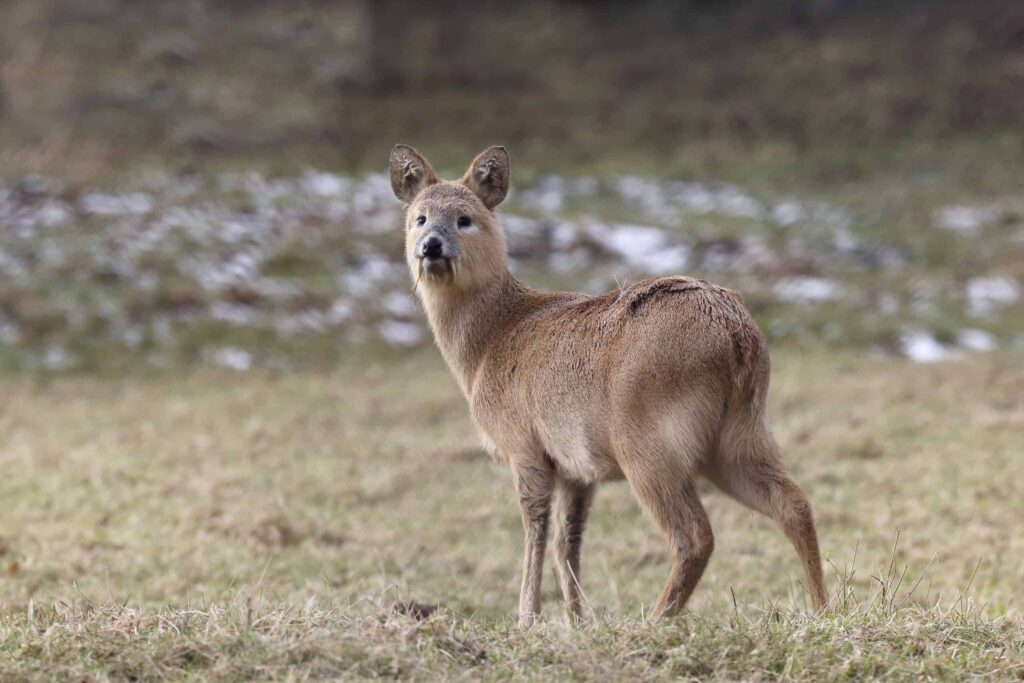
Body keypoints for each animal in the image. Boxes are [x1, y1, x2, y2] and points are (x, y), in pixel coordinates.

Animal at [387, 145, 827, 630]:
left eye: (465, 218)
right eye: (420, 218)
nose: (431, 246)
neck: (489, 343)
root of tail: (737, 333)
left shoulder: (524, 446)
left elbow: (535, 530)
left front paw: (527, 619)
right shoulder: (578, 467)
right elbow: (568, 540)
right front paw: (578, 621)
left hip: (650, 442)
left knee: (695, 535)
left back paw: (655, 620)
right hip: (740, 433)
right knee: (793, 503)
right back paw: (823, 610)